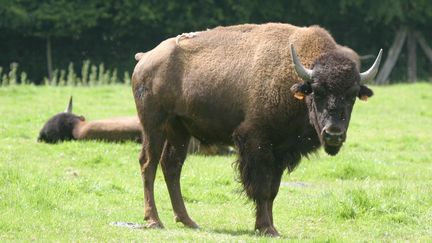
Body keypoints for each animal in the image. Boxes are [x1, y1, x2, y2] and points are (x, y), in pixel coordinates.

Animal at [132, 22, 382, 235]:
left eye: (352, 96)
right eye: (317, 91)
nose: (333, 134)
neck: (293, 78)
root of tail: (145, 58)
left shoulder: (280, 151)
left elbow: (273, 190)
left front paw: (271, 227)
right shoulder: (256, 143)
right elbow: (261, 188)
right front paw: (266, 228)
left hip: (179, 130)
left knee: (171, 166)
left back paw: (188, 221)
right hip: (153, 125)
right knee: (148, 163)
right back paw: (154, 221)